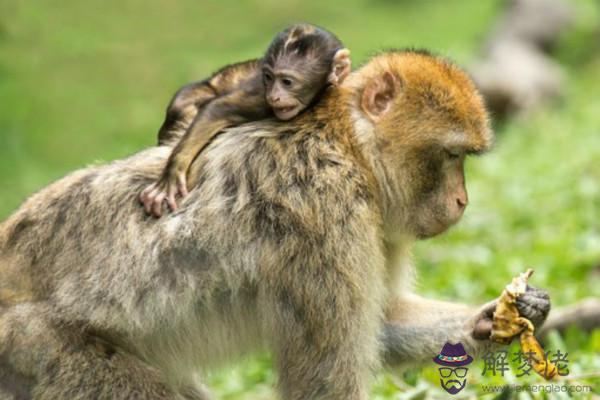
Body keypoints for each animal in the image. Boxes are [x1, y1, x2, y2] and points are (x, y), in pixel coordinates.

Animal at [0, 51, 548, 398]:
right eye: (453, 155)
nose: (462, 199)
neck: (348, 147)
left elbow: (382, 320)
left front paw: (499, 318)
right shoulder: (324, 213)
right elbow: (325, 383)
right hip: (35, 348)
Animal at [141, 23, 350, 216]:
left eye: (287, 82)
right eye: (268, 77)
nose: (275, 96)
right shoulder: (261, 98)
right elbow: (216, 110)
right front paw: (171, 175)